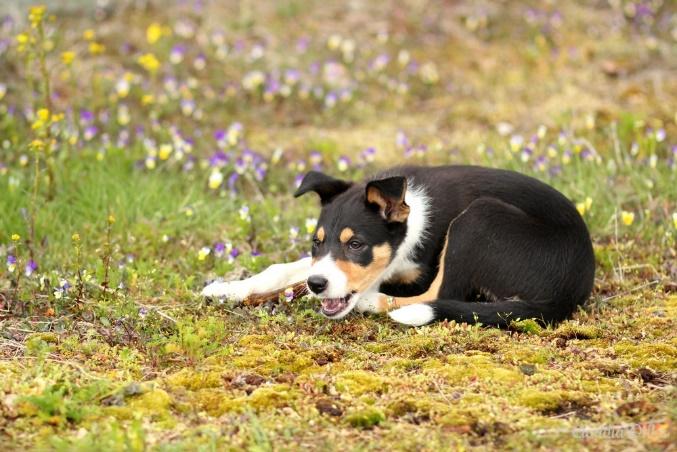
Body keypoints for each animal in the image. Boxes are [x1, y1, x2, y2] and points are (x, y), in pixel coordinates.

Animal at [203, 164, 596, 326]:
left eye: (357, 244)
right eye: (315, 243)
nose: (317, 286)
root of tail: (567, 293)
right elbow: (281, 269)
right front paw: (229, 289)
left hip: (479, 219)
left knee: (441, 293)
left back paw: (369, 302)